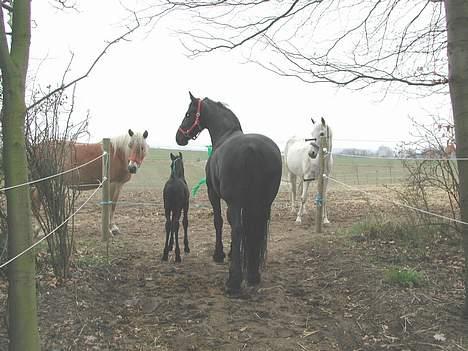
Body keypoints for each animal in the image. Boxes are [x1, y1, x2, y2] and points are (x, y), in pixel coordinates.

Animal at [176, 91, 282, 294]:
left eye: (188, 114)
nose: (179, 137)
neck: (224, 135)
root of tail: (253, 149)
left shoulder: (215, 194)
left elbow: (220, 221)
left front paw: (219, 254)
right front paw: (234, 253)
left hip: (236, 201)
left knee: (239, 229)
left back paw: (234, 281)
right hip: (264, 203)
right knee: (255, 229)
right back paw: (253, 275)